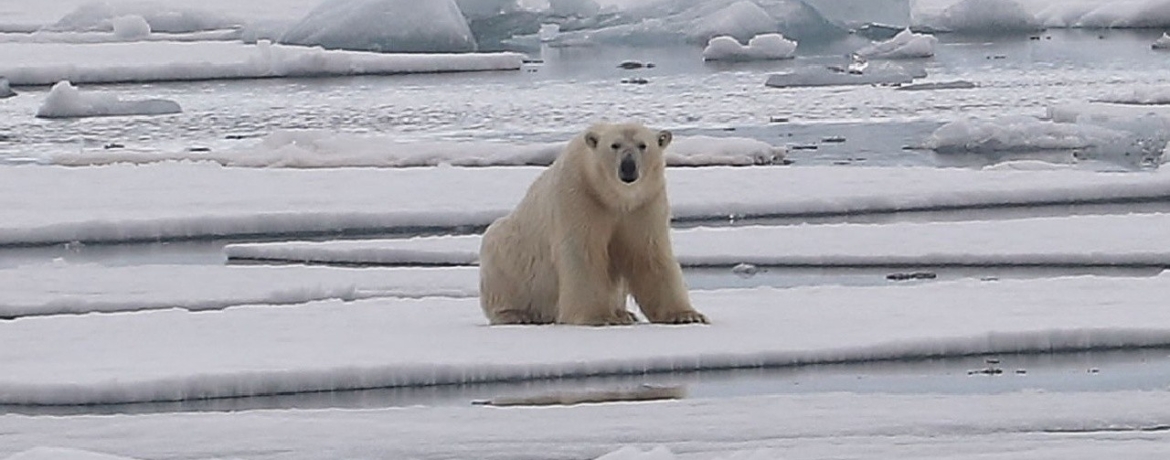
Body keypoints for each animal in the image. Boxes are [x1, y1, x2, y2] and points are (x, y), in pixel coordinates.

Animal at [479, 119, 706, 325]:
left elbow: (648, 254)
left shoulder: (644, 204)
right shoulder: (579, 196)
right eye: (615, 145)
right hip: (506, 256)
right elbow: (583, 253)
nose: (628, 167)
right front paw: (599, 317)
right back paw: (515, 314)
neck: (613, 197)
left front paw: (687, 315)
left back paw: (625, 314)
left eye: (643, 145)